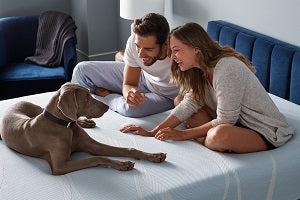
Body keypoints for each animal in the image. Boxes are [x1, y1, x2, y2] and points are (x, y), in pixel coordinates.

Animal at [0, 82, 166, 174]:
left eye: (90, 94)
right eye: (86, 98)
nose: (107, 107)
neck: (66, 126)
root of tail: (15, 103)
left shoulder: (93, 145)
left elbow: (128, 149)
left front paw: (154, 155)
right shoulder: (60, 166)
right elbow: (97, 158)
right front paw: (122, 164)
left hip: (36, 107)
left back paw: (86, 122)